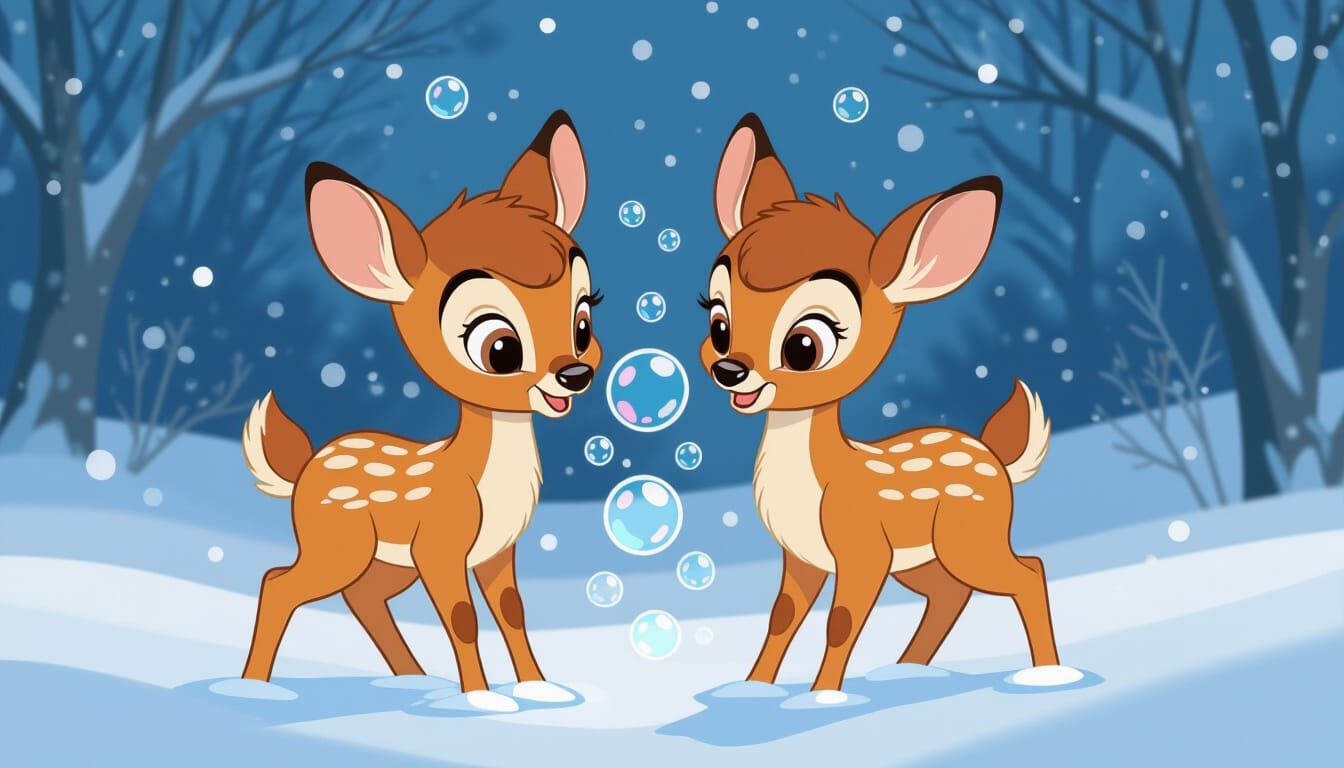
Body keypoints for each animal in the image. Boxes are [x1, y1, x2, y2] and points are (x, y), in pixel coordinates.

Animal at [233, 111, 601, 714]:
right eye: (500, 348)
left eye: (583, 320)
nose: (574, 375)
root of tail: (306, 468)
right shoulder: (439, 548)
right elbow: (464, 618)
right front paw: (481, 701)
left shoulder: (497, 552)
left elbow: (514, 613)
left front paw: (540, 689)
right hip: (342, 544)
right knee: (278, 582)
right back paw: (253, 689)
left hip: (385, 561)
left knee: (361, 597)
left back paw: (410, 680)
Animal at [698, 113, 1081, 707]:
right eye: (718, 320)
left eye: (804, 346)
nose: (731, 370)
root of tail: (996, 458)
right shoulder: (802, 557)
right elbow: (780, 617)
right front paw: (751, 690)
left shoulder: (863, 550)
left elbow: (841, 622)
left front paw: (822, 699)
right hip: (923, 558)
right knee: (951, 594)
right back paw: (907, 671)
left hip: (967, 537)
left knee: (1028, 571)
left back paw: (1045, 676)